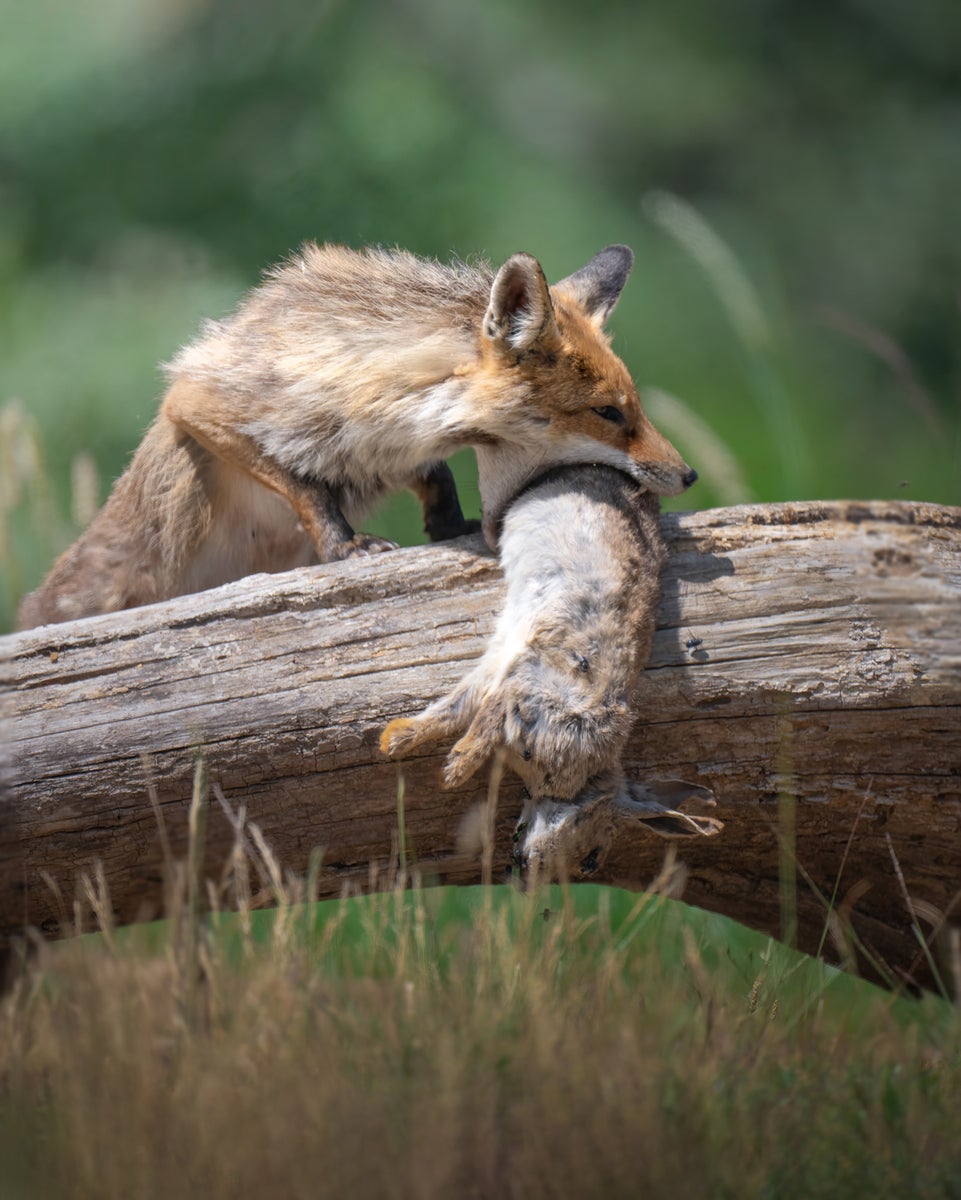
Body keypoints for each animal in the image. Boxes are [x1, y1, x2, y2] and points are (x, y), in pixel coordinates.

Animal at [17, 242, 697, 630]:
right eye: (609, 413)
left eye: (636, 407)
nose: (689, 474)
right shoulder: (199, 399)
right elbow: (306, 487)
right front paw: (344, 546)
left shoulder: (395, 446)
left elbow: (436, 474)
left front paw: (448, 527)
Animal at [380, 464, 722, 879]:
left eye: (589, 863)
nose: (529, 869)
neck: (579, 782)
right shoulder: (533, 687)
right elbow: (481, 711)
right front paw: (450, 767)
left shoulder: (511, 666)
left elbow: (463, 703)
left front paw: (401, 740)